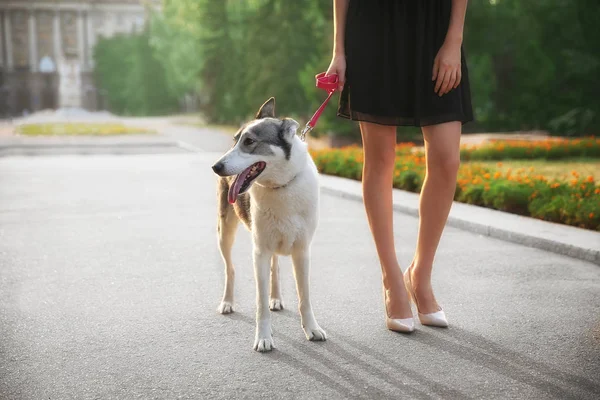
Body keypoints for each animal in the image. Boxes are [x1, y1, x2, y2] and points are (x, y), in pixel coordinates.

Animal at [210, 97, 326, 354]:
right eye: (235, 141)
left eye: (249, 142)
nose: (216, 167)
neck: (281, 186)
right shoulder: (260, 252)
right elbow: (260, 303)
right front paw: (263, 338)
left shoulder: (302, 251)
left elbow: (305, 296)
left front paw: (312, 329)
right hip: (225, 233)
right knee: (230, 269)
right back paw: (227, 302)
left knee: (276, 268)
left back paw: (276, 298)